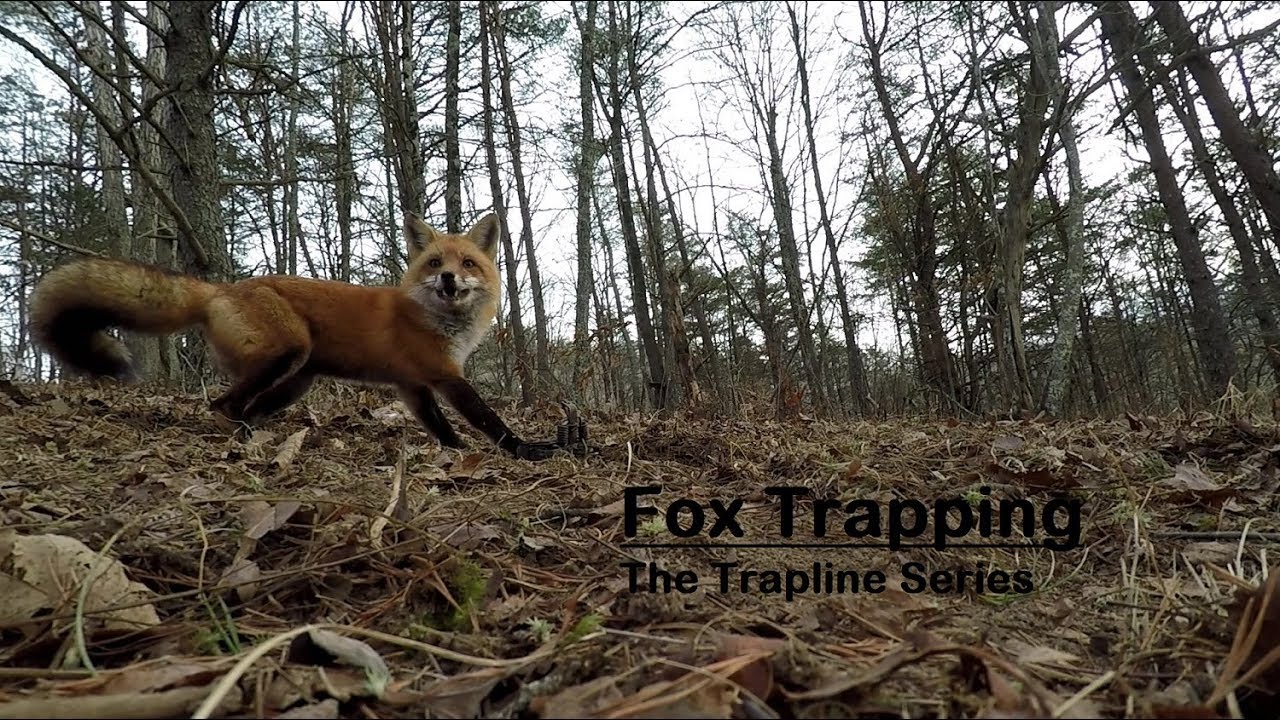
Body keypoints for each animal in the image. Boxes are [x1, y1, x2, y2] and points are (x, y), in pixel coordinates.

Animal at [28, 212, 562, 460]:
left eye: (467, 263)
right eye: (434, 263)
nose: (449, 279)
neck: (436, 320)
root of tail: (224, 288)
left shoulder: (412, 386)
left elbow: (443, 430)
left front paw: (457, 454)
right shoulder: (442, 375)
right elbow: (489, 420)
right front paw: (525, 449)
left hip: (297, 379)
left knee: (245, 406)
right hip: (289, 353)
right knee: (223, 405)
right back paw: (245, 440)